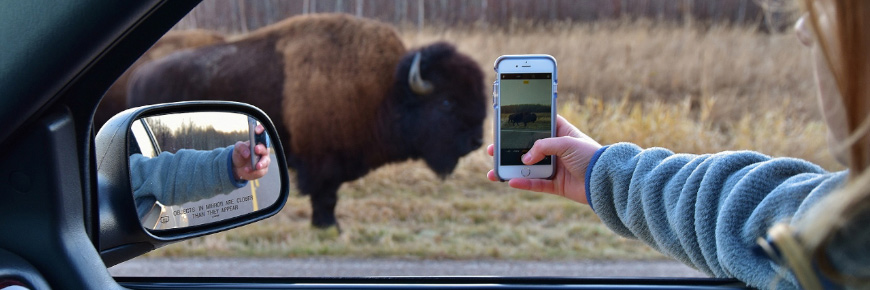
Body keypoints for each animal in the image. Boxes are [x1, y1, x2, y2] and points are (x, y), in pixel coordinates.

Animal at [127, 13, 490, 230]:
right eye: (446, 101)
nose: (475, 141)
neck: (384, 89)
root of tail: (140, 76)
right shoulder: (322, 164)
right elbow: (325, 196)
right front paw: (328, 226)